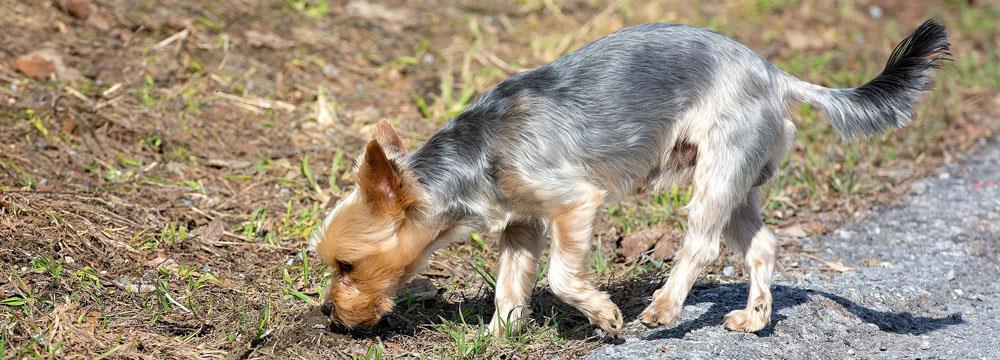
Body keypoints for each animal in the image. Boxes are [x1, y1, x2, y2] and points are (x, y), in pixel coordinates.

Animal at [310, 19, 944, 334]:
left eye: (347, 266)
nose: (328, 312)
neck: (474, 156)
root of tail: (774, 73)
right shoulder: (522, 223)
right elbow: (512, 283)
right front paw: (499, 336)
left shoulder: (574, 203)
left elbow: (560, 277)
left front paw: (603, 314)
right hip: (738, 179)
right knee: (761, 243)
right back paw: (754, 319)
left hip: (718, 170)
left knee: (701, 243)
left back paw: (663, 309)